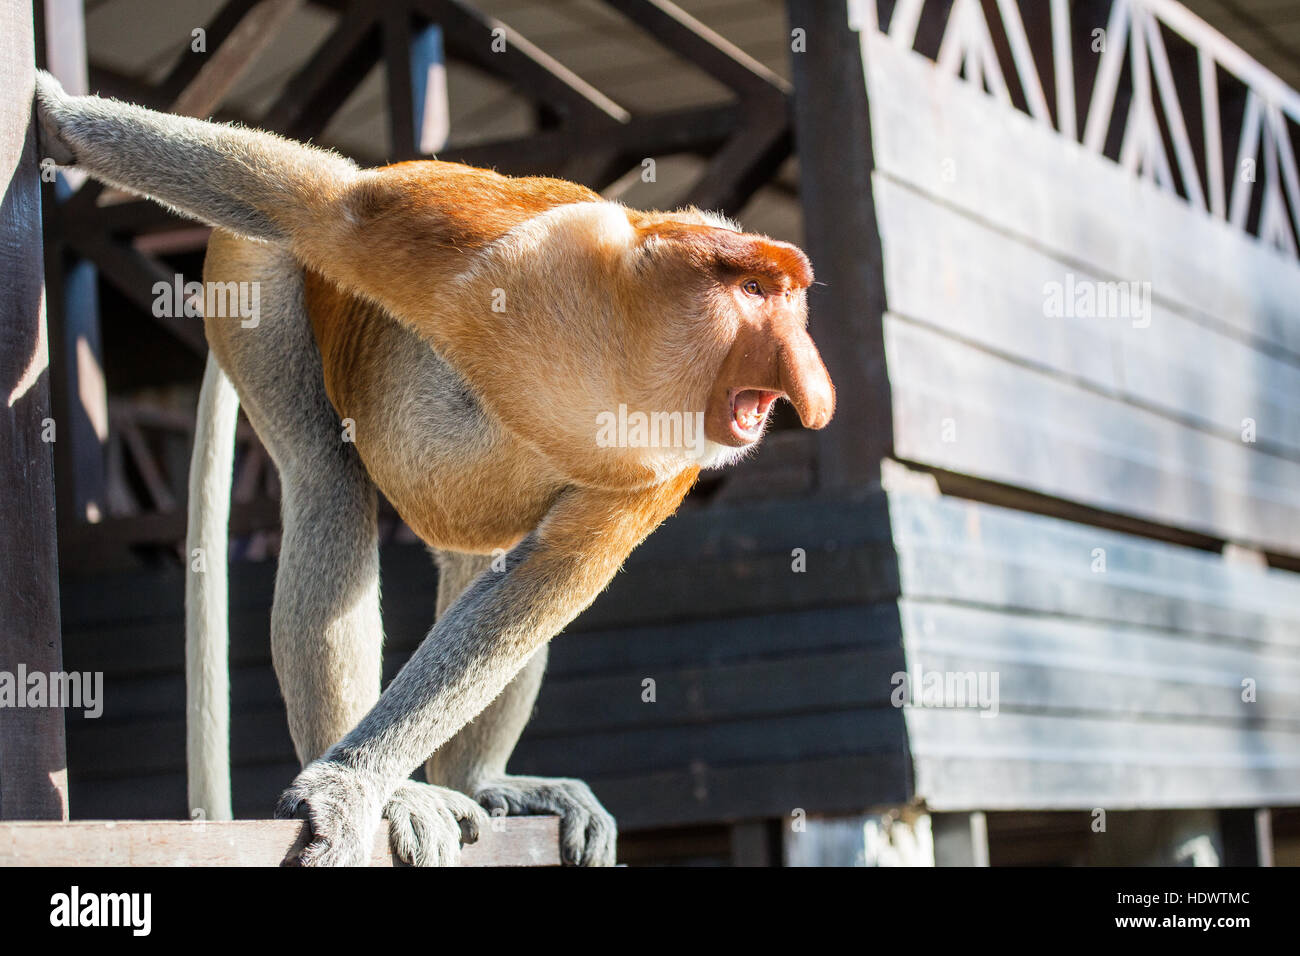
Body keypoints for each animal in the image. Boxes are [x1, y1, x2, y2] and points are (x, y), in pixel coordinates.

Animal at [38, 72, 832, 868]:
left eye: (791, 297)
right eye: (755, 291)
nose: (812, 387)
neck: (629, 361)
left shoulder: (663, 472)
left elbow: (548, 576)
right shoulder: (507, 250)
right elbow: (335, 210)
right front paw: (58, 116)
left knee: (486, 559)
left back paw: (479, 780)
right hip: (251, 279)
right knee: (326, 483)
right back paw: (394, 792)